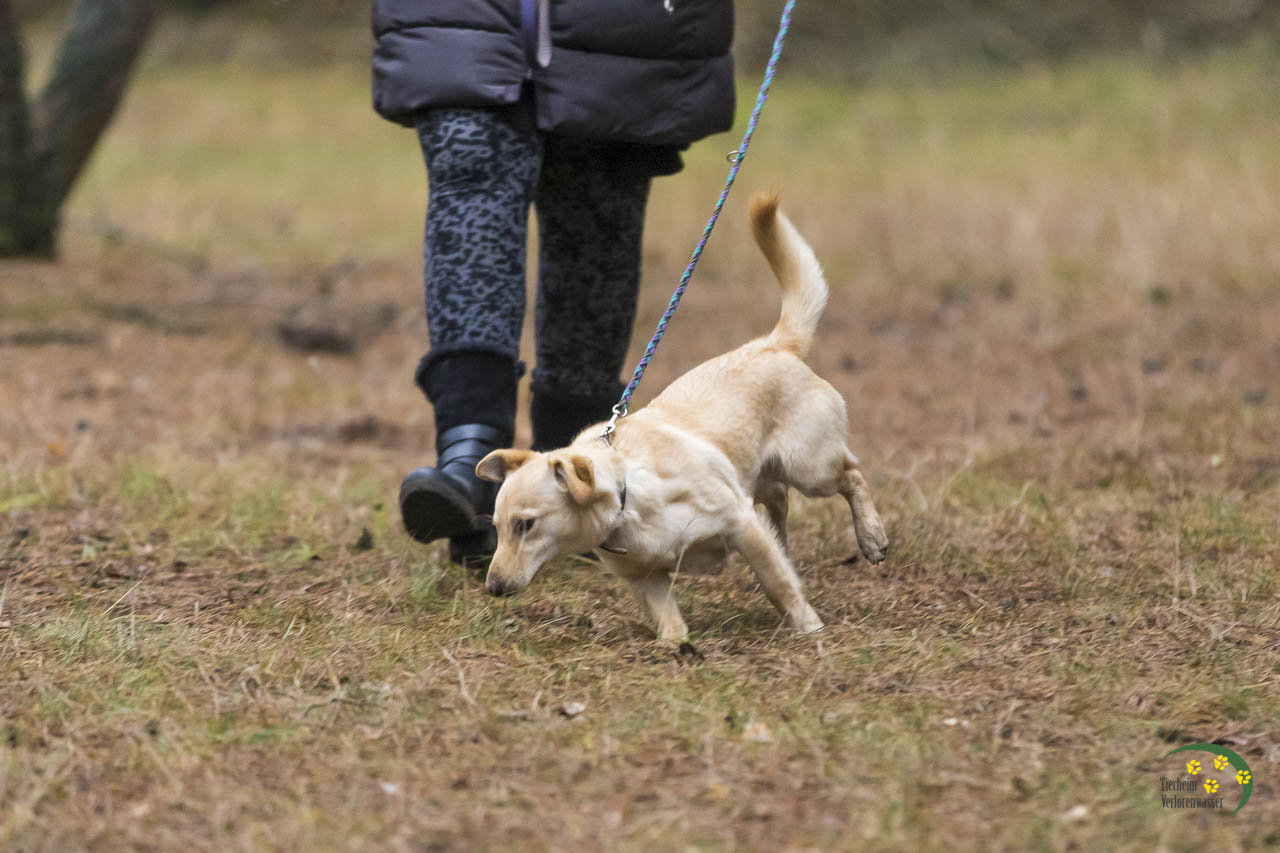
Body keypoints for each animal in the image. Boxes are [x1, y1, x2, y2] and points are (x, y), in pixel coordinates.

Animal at [475, 193, 888, 639]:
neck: (627, 493)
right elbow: (668, 620)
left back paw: (871, 537)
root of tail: (775, 343)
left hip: (809, 466)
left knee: (851, 476)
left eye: (526, 525)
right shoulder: (645, 578)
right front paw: (676, 647)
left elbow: (778, 584)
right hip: (759, 473)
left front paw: (810, 630)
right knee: (780, 501)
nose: (492, 587)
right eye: (496, 528)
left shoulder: (738, 521)